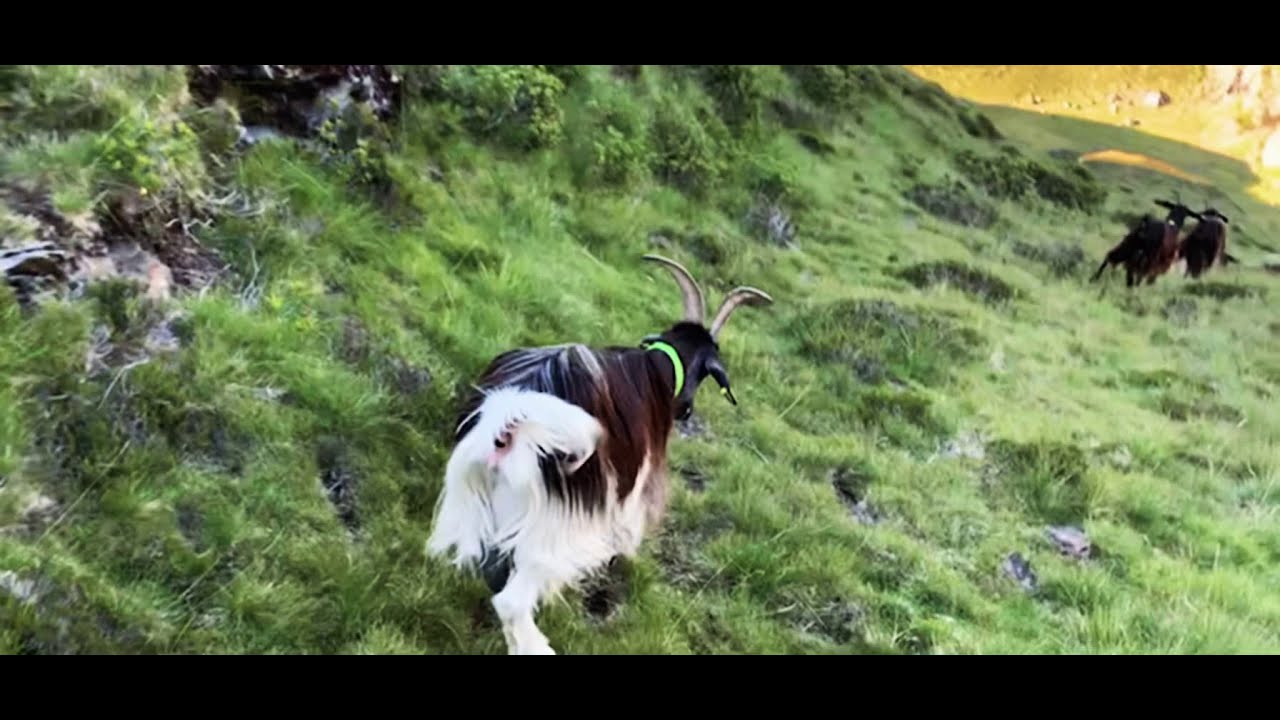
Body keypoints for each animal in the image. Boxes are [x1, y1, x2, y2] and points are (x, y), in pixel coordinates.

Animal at [425, 254, 773, 655]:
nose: (686, 410)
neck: (659, 369)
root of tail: (510, 422)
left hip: (471, 498)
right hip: (556, 522)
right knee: (512, 598)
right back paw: (535, 644)